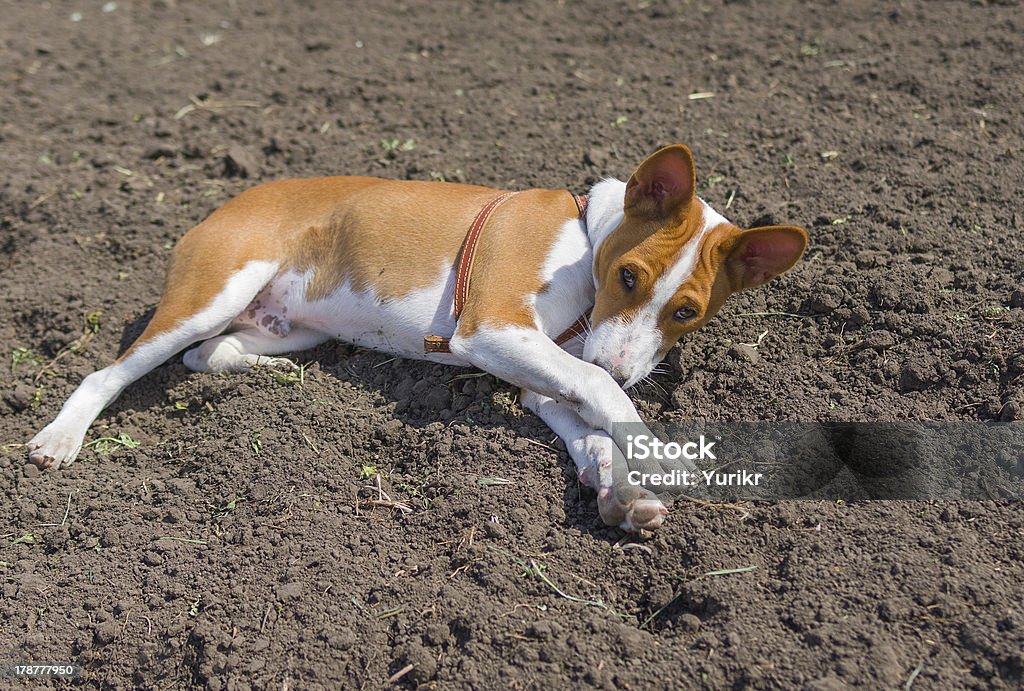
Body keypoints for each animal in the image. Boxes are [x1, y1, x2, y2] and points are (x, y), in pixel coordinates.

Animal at [25, 144, 806, 536]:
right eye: (628, 274)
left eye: (686, 313)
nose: (621, 360)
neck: (584, 239)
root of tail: (220, 207)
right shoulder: (492, 330)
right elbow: (598, 388)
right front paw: (660, 458)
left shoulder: (536, 370)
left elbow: (585, 416)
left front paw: (618, 489)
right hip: (209, 293)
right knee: (110, 372)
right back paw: (60, 438)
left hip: (289, 332)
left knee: (208, 354)